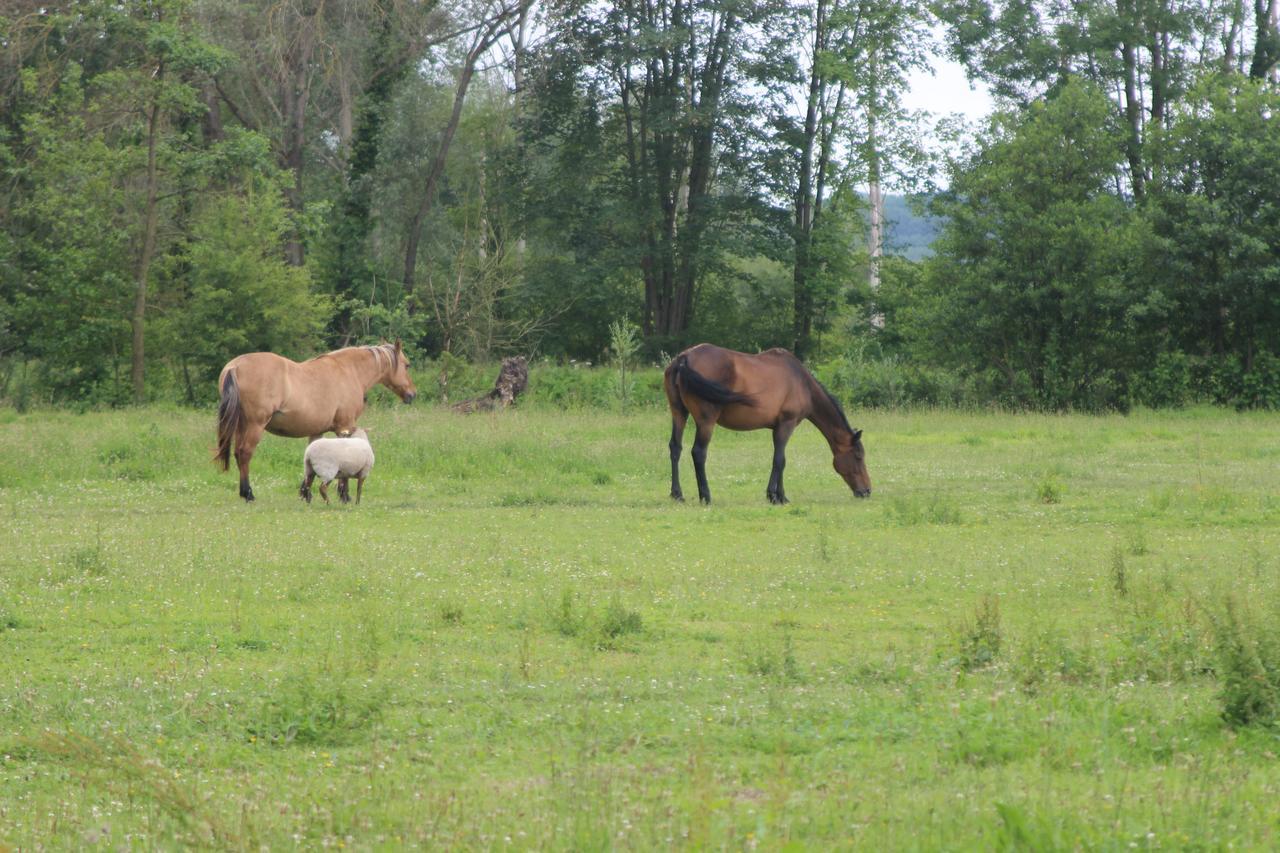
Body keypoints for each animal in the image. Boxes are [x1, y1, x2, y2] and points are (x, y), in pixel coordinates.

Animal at [215, 338, 414, 499]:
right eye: (407, 365)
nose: (412, 394)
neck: (349, 370)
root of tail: (235, 366)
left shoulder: (317, 431)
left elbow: (309, 460)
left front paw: (305, 493)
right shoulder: (345, 427)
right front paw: (344, 495)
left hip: (241, 425)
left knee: (238, 453)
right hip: (255, 425)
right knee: (244, 453)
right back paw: (248, 493)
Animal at [660, 343, 870, 504]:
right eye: (858, 456)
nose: (867, 491)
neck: (802, 382)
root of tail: (684, 358)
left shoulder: (778, 428)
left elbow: (782, 460)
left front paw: (782, 496)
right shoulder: (786, 424)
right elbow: (779, 460)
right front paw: (773, 496)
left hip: (679, 413)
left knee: (675, 448)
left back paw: (677, 494)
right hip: (706, 422)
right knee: (698, 453)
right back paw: (706, 496)